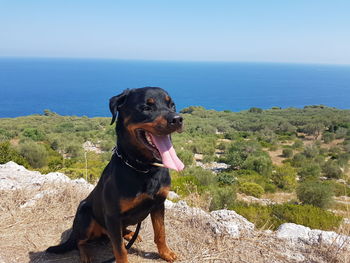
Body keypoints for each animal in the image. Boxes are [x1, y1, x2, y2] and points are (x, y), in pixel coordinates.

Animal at [46, 88, 186, 263]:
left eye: (172, 104)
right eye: (146, 107)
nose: (178, 119)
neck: (143, 168)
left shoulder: (159, 204)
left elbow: (161, 233)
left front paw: (166, 253)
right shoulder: (113, 216)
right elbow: (120, 250)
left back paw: (130, 234)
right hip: (85, 214)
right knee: (80, 241)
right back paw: (86, 254)